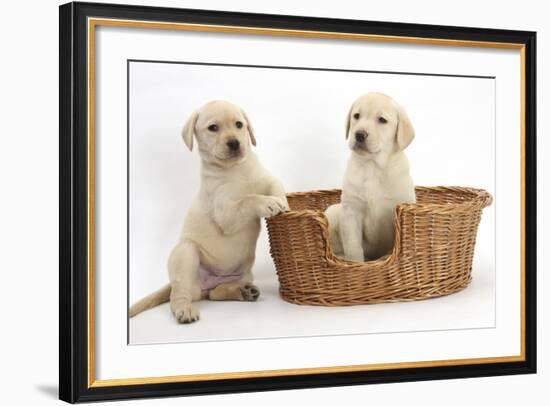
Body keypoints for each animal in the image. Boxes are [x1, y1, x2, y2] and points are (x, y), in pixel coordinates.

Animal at [129, 100, 288, 324]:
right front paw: (268, 204)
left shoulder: (267, 178)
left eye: (239, 125)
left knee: (214, 293)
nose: (235, 143)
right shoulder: (225, 213)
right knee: (178, 295)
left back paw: (242, 292)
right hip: (186, 253)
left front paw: (283, 203)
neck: (236, 168)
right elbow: (248, 200)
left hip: (244, 273)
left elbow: (276, 187)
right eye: (213, 128)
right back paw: (185, 310)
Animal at [326, 93, 416, 262]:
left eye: (382, 120)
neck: (372, 166)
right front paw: (355, 263)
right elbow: (353, 246)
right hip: (333, 212)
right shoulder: (351, 210)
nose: (359, 134)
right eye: (356, 116)